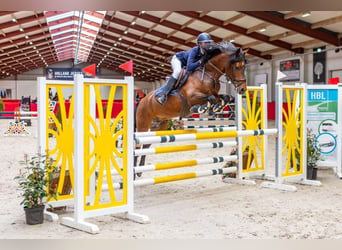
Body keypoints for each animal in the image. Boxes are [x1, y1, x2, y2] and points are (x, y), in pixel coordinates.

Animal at [134, 41, 248, 170]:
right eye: (237, 67)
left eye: (245, 67)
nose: (243, 89)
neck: (209, 74)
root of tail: (142, 100)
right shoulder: (192, 97)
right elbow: (210, 98)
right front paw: (201, 108)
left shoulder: (215, 94)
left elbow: (224, 97)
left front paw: (217, 107)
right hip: (143, 124)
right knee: (138, 145)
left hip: (160, 124)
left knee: (146, 145)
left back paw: (140, 170)